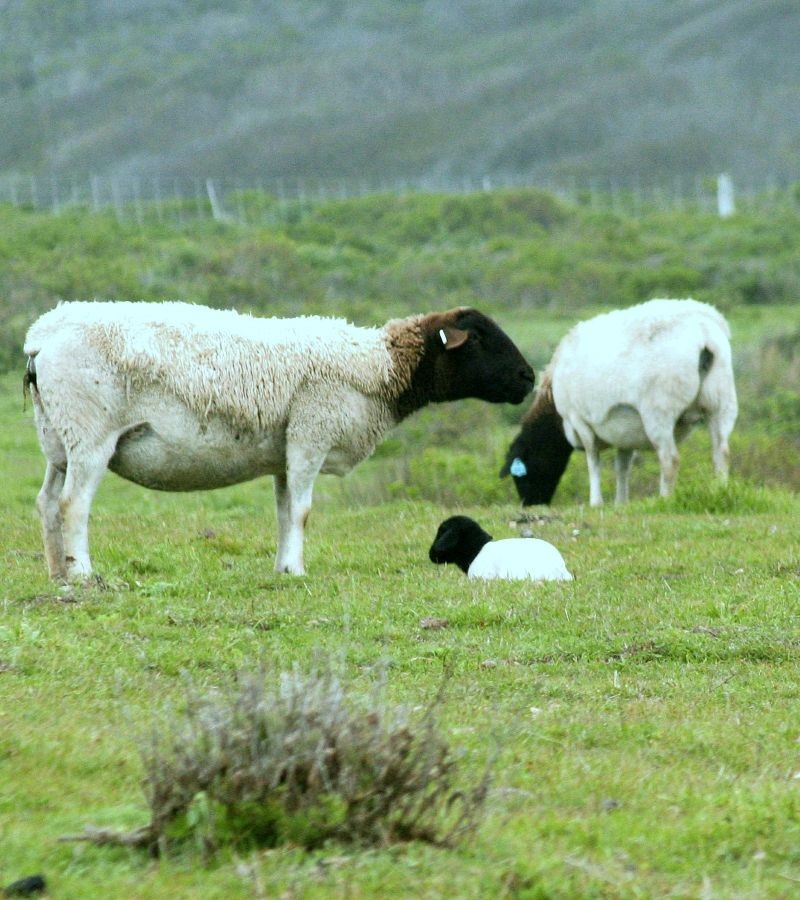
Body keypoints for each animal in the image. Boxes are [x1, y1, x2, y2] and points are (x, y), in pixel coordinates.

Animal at [24, 301, 534, 581]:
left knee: (47, 502)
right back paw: (83, 573)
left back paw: (56, 572)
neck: (380, 369)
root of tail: (40, 336)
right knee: (73, 504)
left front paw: (283, 568)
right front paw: (297, 569)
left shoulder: (287, 452)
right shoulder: (312, 433)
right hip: (89, 432)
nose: (528, 378)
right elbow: (304, 511)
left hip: (56, 438)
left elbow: (286, 511)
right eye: (480, 337)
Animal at [501, 299, 738, 507]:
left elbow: (593, 460)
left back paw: (664, 499)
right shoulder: (625, 431)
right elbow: (622, 466)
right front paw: (620, 502)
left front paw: (596, 502)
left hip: (659, 412)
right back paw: (720, 492)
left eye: (522, 472)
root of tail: (703, 335)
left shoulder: (578, 419)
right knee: (722, 452)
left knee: (670, 459)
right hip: (722, 403)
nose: (530, 504)